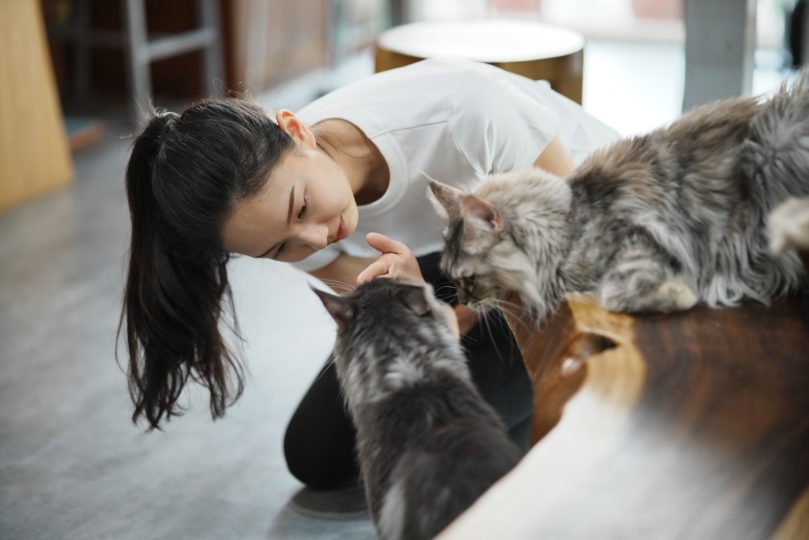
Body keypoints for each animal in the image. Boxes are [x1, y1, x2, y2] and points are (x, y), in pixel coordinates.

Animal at [426, 67, 804, 320]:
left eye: (468, 278)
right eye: (451, 277)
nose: (463, 300)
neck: (572, 222)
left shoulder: (643, 237)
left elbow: (617, 292)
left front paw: (680, 294)